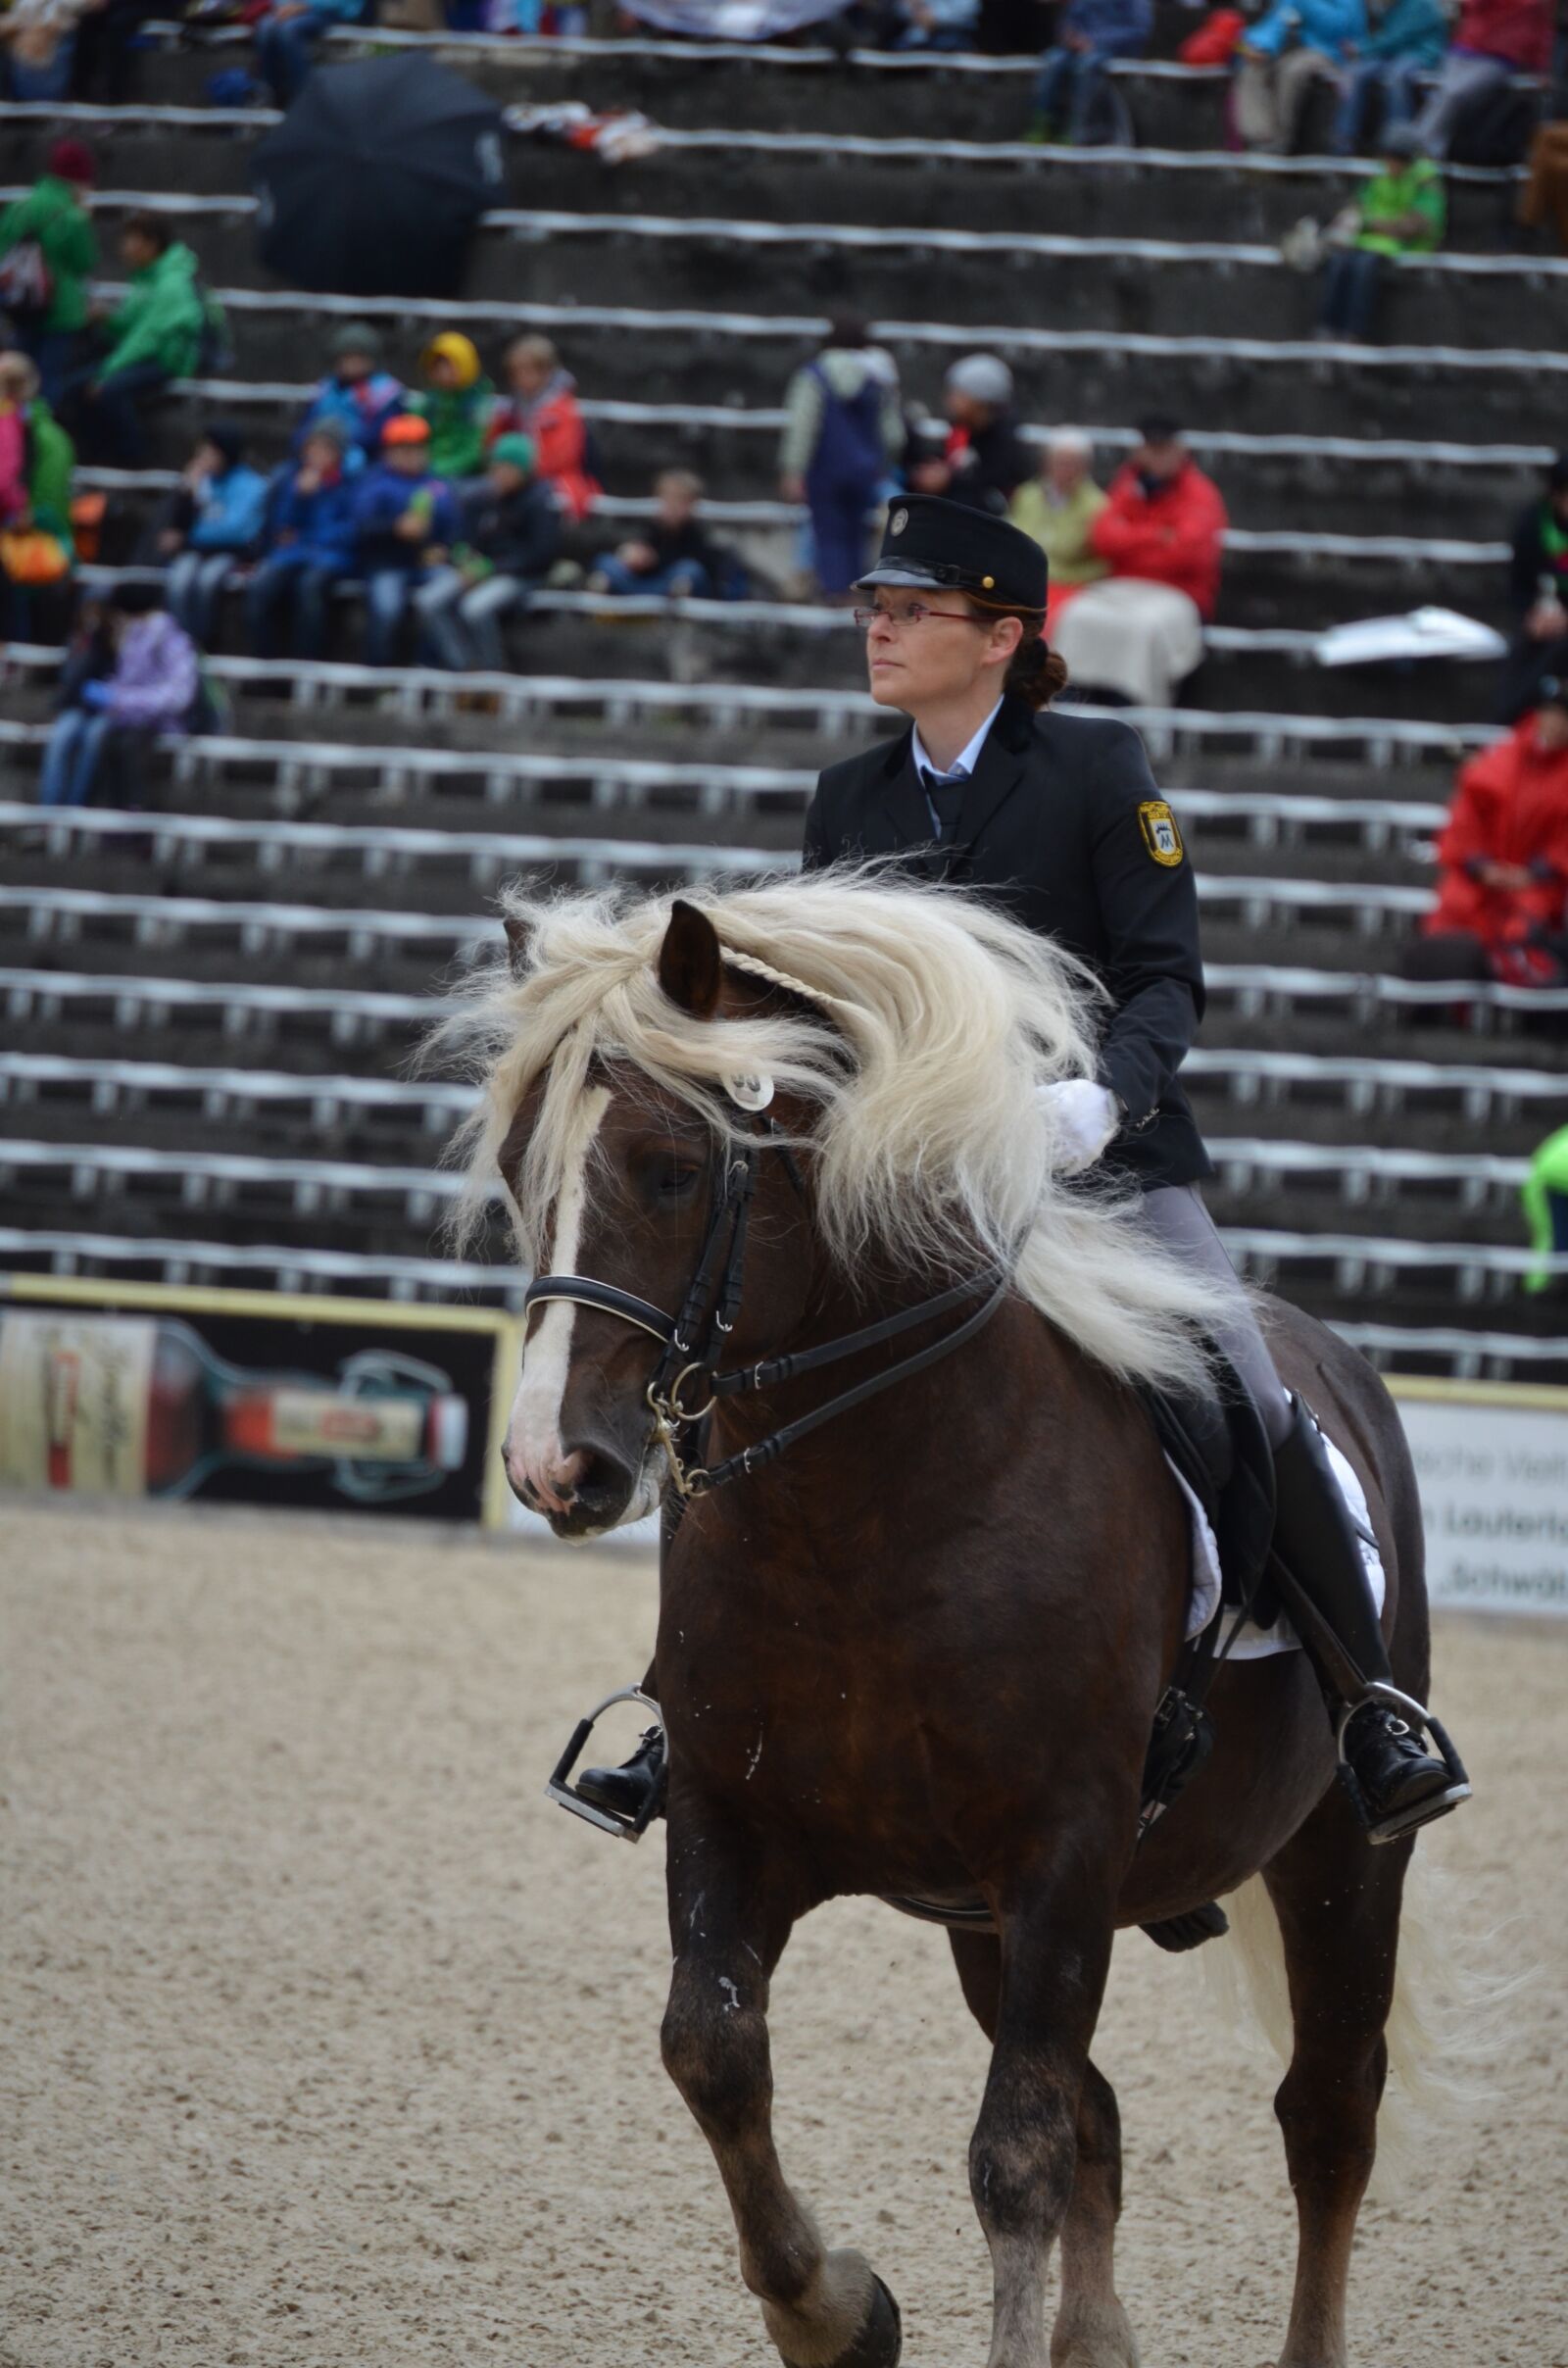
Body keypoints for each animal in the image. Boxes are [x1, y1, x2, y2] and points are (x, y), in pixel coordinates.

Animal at [441, 869, 1446, 2368]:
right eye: (518, 1169)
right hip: (984, 1922)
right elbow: (712, 2051)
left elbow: (1013, 2154)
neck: (869, 1519)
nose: (552, 1468)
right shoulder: (735, 1822)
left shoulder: (1062, 1857)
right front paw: (836, 2313)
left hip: (1338, 1857)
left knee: (1326, 2116)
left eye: (671, 1171)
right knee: (1106, 2117)